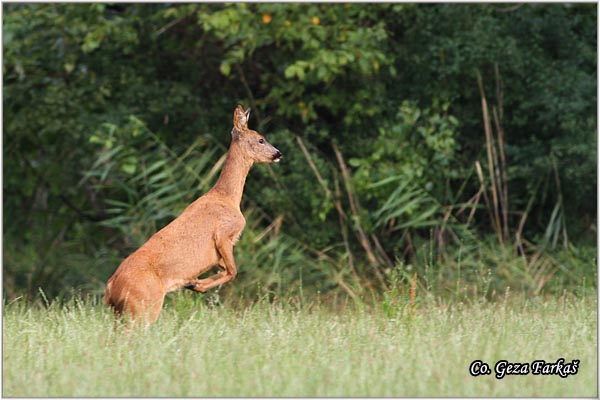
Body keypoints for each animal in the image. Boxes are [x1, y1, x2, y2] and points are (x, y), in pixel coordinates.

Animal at [103, 106, 282, 324]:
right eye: (261, 139)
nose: (278, 153)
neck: (227, 197)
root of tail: (110, 287)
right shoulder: (224, 233)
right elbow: (233, 271)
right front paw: (196, 285)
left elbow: (226, 269)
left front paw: (195, 283)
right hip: (143, 306)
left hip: (121, 312)